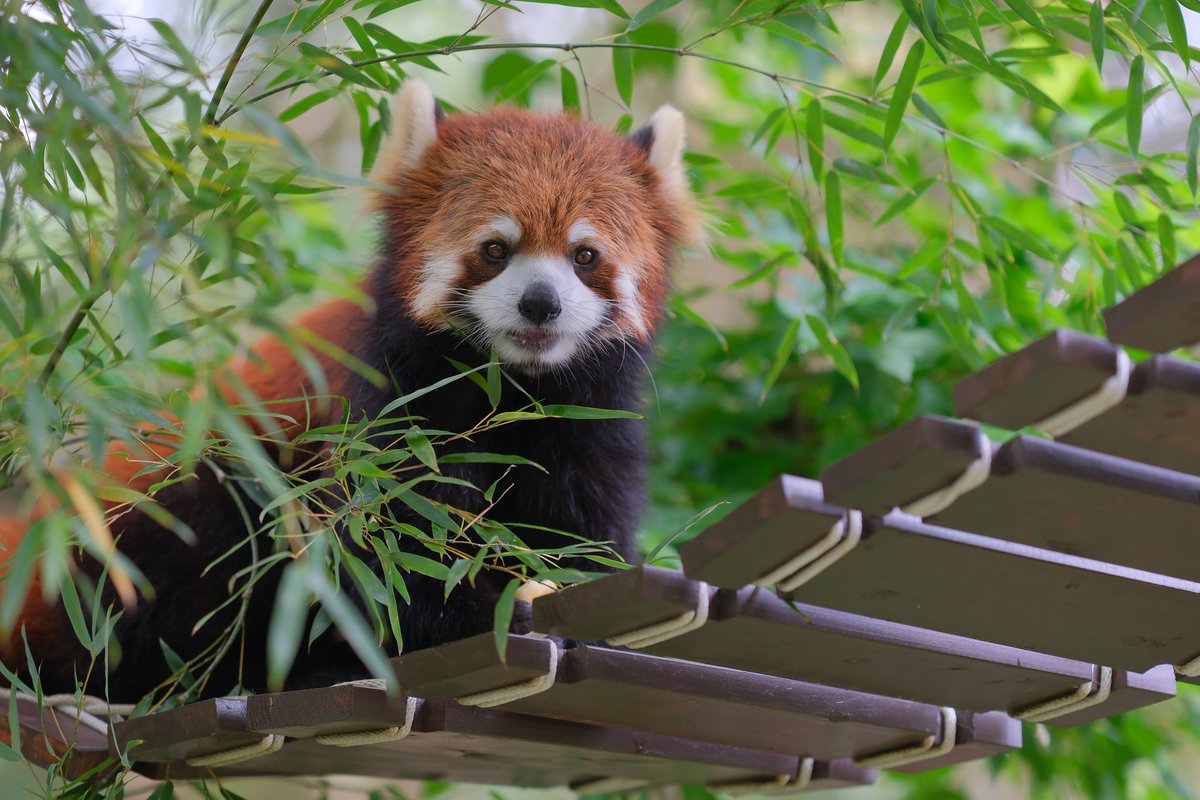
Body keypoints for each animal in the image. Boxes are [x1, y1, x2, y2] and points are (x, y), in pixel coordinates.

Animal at [0, 81, 700, 700]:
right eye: (496, 249)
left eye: (585, 256)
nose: (540, 303)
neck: (506, 391)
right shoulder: (384, 414)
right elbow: (390, 555)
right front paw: (487, 609)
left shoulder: (586, 420)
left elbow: (586, 528)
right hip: (171, 506)